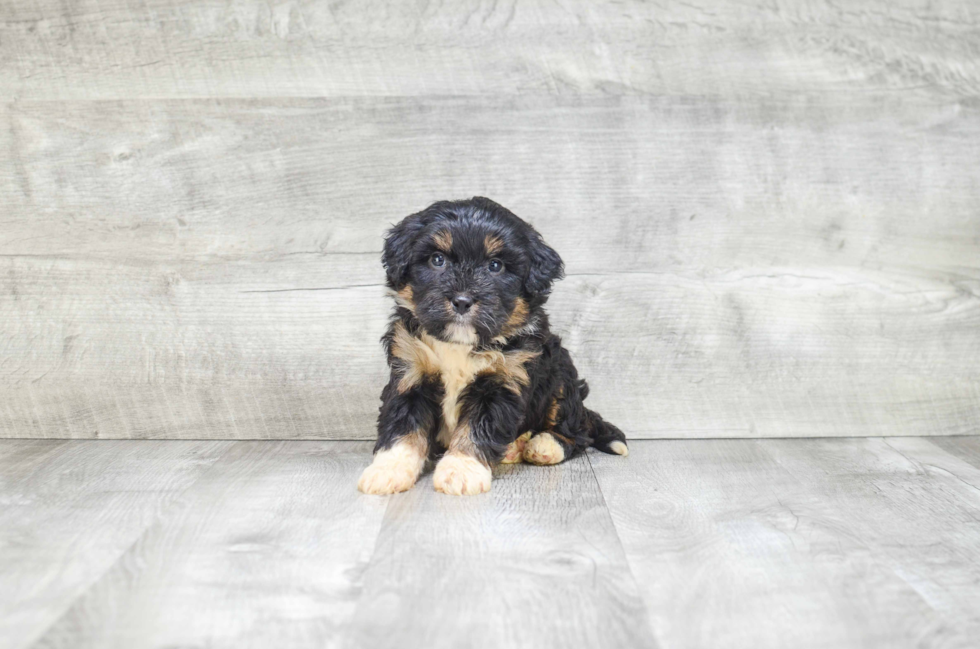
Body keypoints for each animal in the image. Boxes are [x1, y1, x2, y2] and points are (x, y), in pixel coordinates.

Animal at [358, 195, 628, 494]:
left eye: (495, 266)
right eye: (437, 260)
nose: (462, 301)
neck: (460, 344)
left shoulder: (504, 380)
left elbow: (478, 427)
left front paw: (461, 470)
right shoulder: (411, 372)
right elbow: (403, 425)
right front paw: (388, 469)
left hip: (561, 379)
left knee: (576, 432)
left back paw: (544, 445)